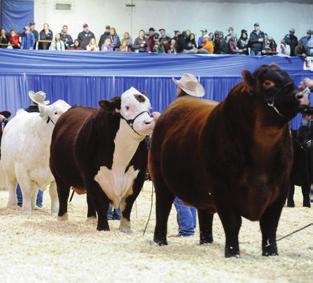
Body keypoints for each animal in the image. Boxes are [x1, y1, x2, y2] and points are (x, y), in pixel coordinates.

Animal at [50, 88, 156, 233]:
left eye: (149, 107)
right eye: (127, 107)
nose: (149, 123)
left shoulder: (137, 178)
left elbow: (127, 204)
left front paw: (125, 228)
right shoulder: (92, 176)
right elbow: (101, 203)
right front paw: (103, 227)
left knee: (88, 198)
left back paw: (91, 219)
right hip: (58, 173)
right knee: (63, 194)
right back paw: (62, 218)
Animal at [149, 65, 310, 260]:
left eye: (290, 79)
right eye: (268, 83)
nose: (302, 96)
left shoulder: (281, 188)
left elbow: (270, 225)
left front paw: (271, 252)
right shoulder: (221, 188)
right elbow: (233, 222)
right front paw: (233, 252)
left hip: (203, 189)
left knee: (204, 214)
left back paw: (207, 242)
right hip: (160, 178)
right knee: (162, 209)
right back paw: (160, 241)